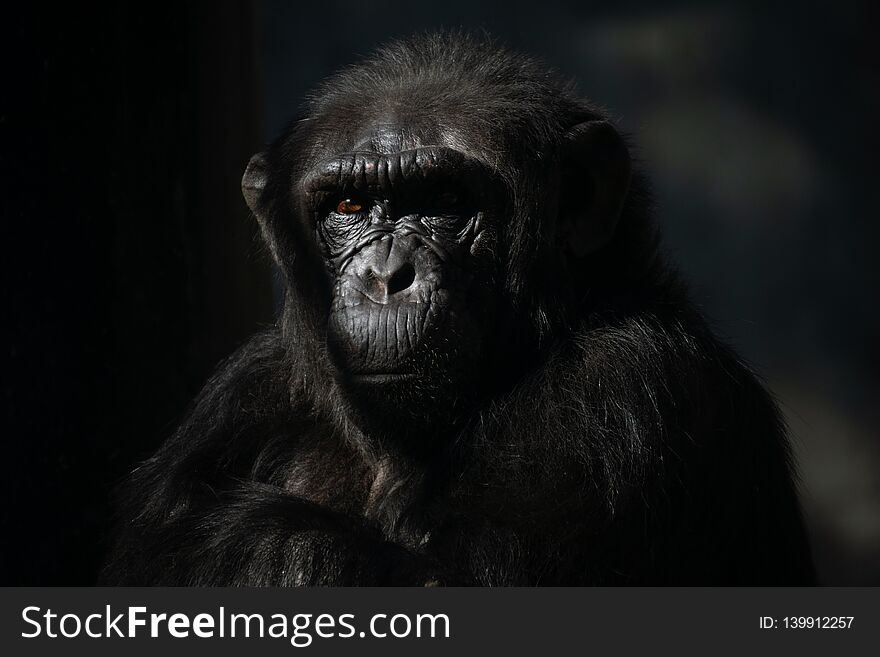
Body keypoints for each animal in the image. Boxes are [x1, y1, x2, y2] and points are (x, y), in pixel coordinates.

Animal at [101, 32, 812, 584]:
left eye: (444, 200)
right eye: (348, 207)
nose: (386, 275)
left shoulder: (626, 384)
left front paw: (242, 542)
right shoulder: (244, 392)